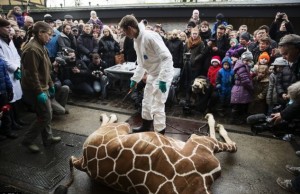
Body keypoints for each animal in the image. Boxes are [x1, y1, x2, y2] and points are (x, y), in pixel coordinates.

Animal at [55, 113, 237, 193]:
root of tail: (83, 162)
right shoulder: (200, 143)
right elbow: (231, 144)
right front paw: (215, 120)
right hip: (122, 128)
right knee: (111, 123)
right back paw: (107, 114)